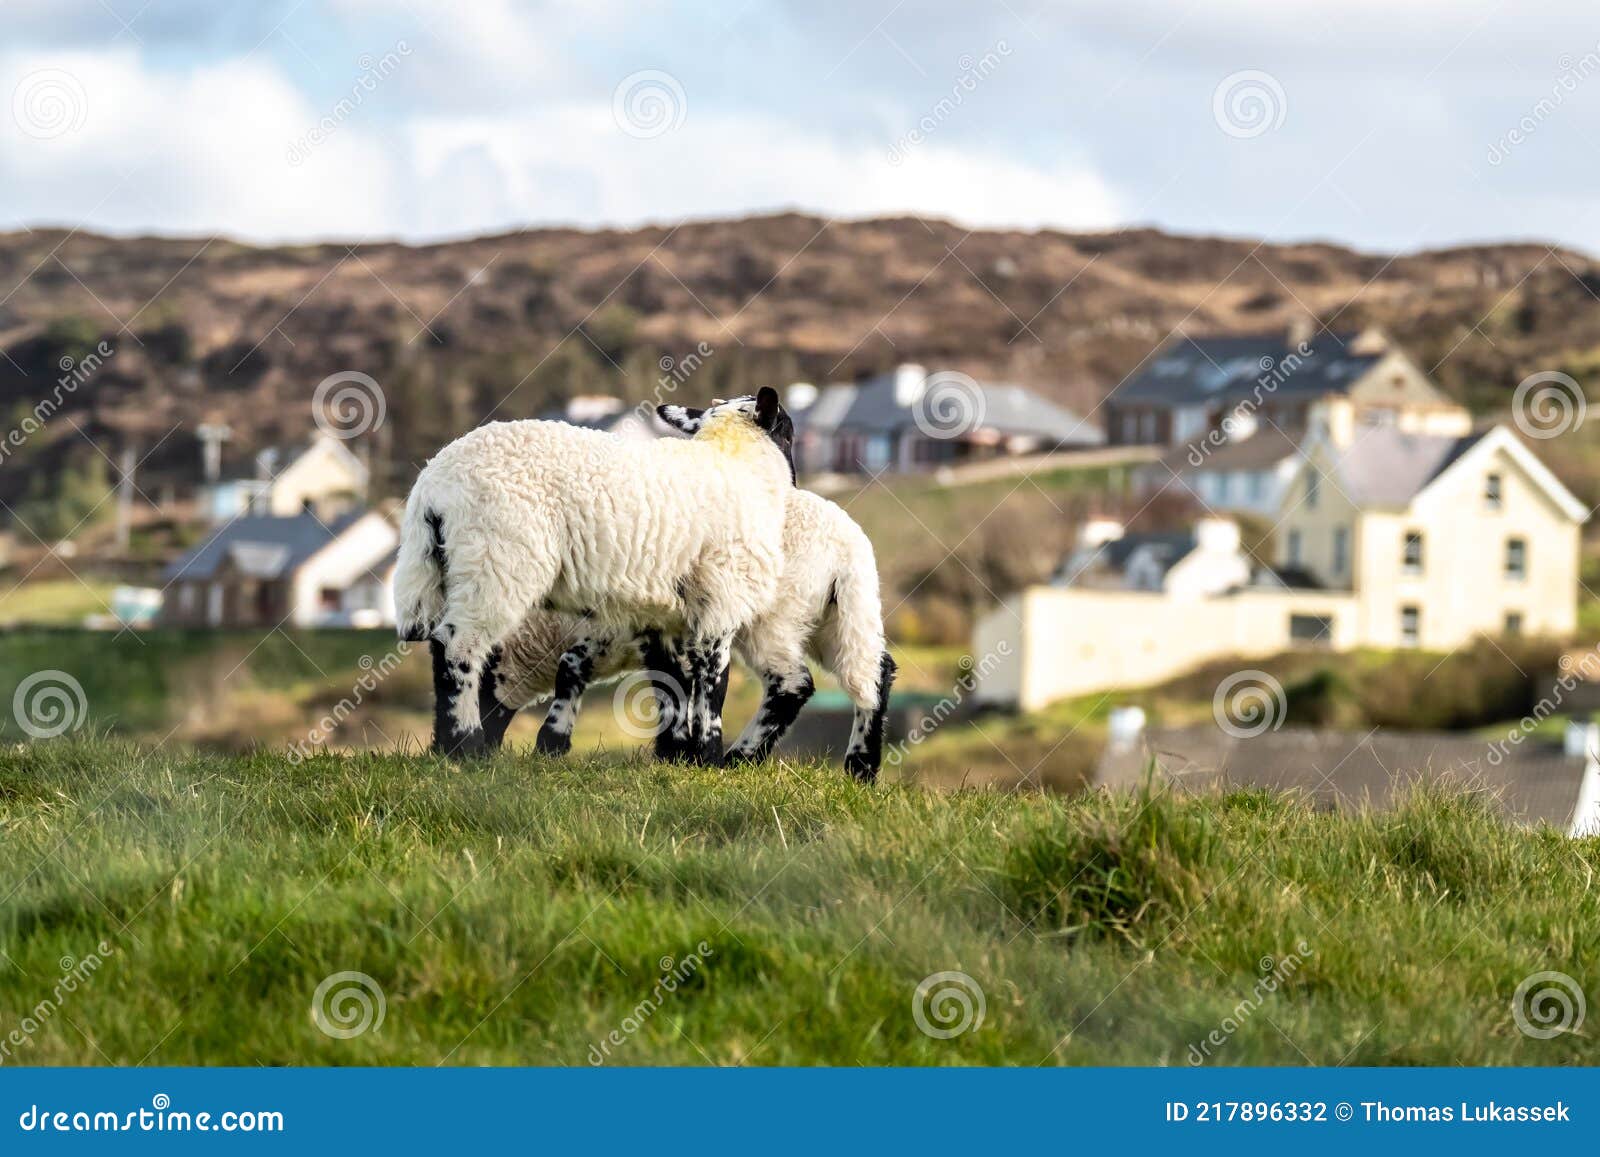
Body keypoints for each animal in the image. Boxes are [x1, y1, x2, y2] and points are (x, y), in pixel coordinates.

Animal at [394, 388, 795, 760]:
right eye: (789, 433)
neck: (739, 463)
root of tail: (432, 487)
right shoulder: (722, 599)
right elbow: (713, 682)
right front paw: (708, 756)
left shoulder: (666, 615)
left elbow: (673, 683)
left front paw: (678, 755)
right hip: (498, 560)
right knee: (458, 645)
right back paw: (466, 746)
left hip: (447, 567)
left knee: (438, 643)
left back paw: (446, 747)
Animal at [477, 486, 899, 781]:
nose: (473, 752)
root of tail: (848, 549)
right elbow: (673, 686)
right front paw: (675, 754)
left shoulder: (622, 629)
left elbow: (578, 668)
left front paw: (551, 743)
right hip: (837, 617)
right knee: (875, 672)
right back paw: (861, 769)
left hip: (773, 616)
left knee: (793, 683)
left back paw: (738, 759)